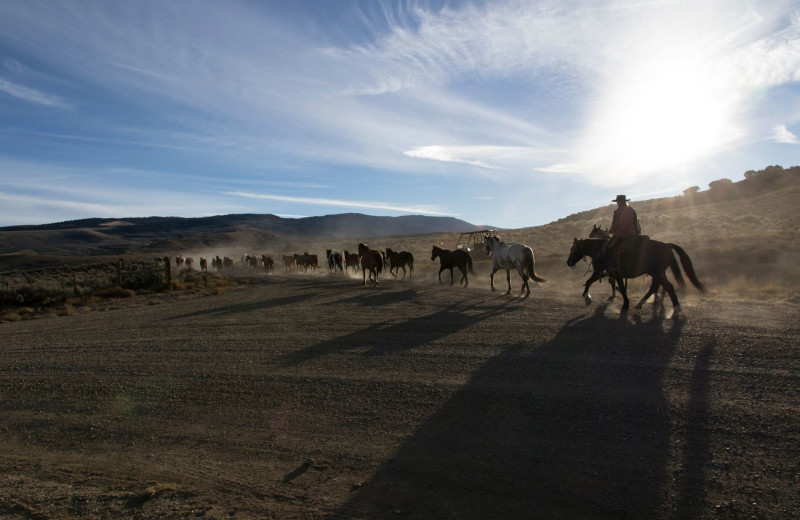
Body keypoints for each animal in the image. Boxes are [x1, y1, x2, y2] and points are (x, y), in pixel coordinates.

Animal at [564, 237, 704, 316]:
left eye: (572, 249)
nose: (568, 262)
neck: (600, 250)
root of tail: (666, 245)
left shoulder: (601, 272)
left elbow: (589, 282)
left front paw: (587, 298)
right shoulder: (612, 274)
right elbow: (619, 287)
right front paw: (625, 303)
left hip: (656, 272)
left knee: (663, 287)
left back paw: (671, 308)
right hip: (657, 273)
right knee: (661, 286)